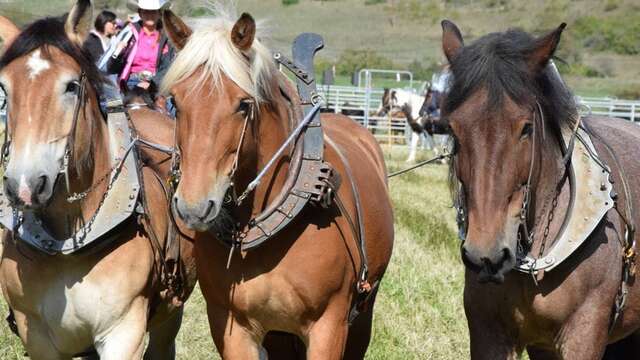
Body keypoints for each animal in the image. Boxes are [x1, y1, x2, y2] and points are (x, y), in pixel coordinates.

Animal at [0, 1, 195, 358]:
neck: (67, 245)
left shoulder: (123, 331)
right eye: (4, 88)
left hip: (169, 312)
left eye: (71, 86)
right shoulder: (35, 333)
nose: (25, 185)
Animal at [160, 6, 396, 360]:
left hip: (362, 312)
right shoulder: (232, 327)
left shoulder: (330, 326)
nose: (194, 206)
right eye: (175, 101)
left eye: (244, 104)